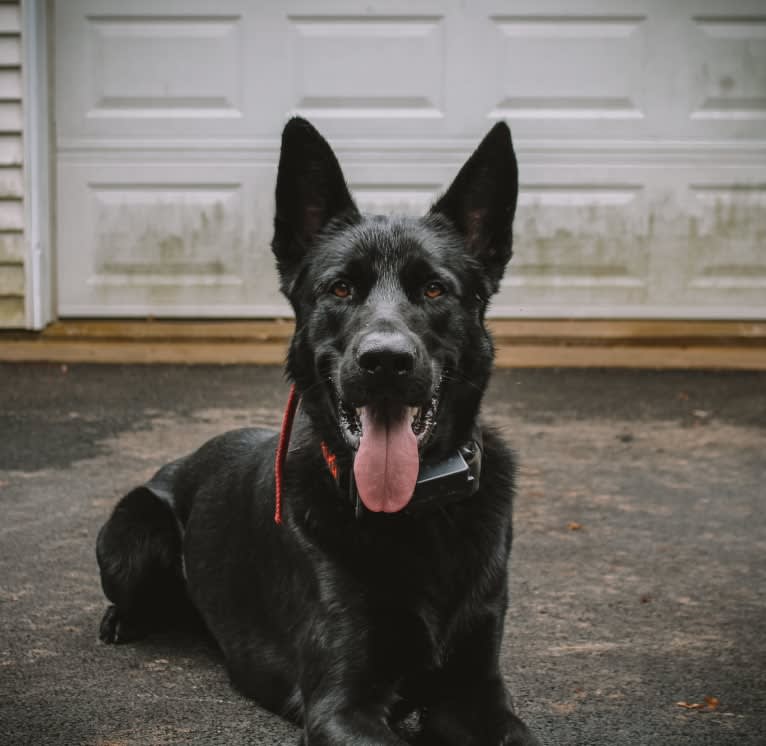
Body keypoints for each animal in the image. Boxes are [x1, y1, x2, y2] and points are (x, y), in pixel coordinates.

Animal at [96, 116, 540, 744]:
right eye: (340, 289)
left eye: (434, 289)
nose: (385, 362)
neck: (414, 515)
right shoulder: (342, 704)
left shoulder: (475, 692)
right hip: (132, 534)